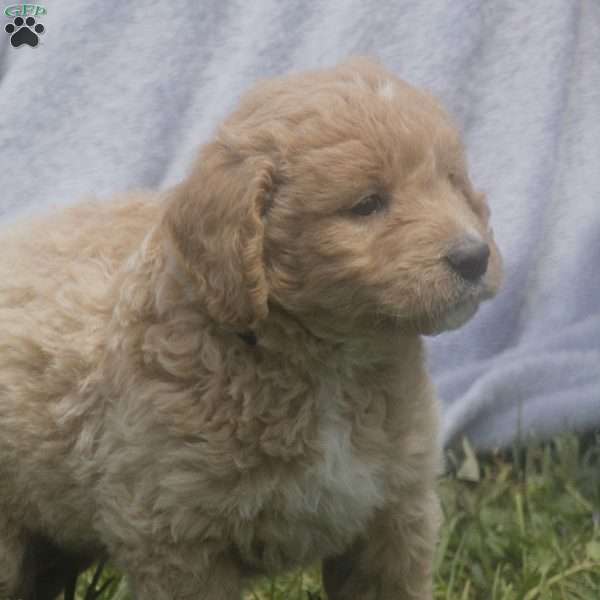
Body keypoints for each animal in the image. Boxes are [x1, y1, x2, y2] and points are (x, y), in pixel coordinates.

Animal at [0, 57, 502, 600]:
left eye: (451, 183)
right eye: (367, 204)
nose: (474, 257)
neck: (333, 367)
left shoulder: (393, 514)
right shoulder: (179, 537)